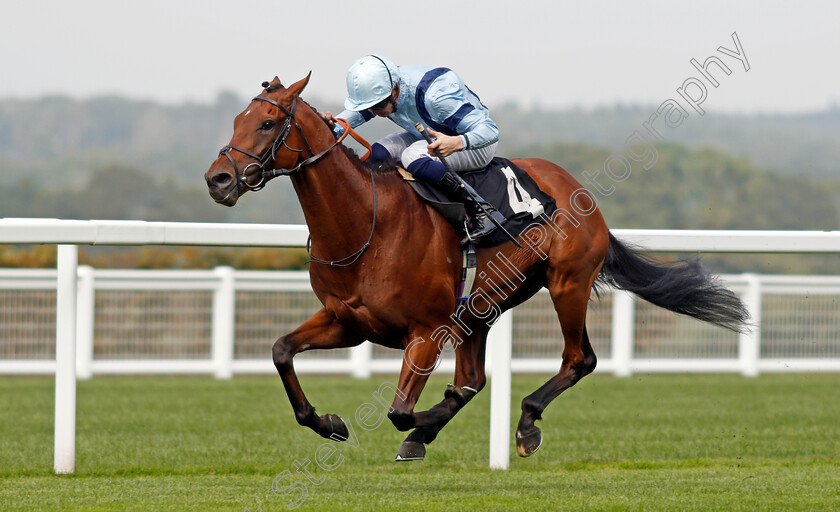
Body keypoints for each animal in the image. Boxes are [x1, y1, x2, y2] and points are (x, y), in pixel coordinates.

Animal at [203, 75, 748, 460]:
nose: (219, 179)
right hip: (481, 308)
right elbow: (281, 351)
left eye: (268, 124)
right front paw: (329, 423)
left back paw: (525, 423)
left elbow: (401, 411)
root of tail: (580, 192)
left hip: (566, 284)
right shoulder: (348, 321)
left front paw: (419, 425)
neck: (365, 224)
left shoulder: (426, 330)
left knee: (579, 359)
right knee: (474, 378)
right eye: (235, 121)